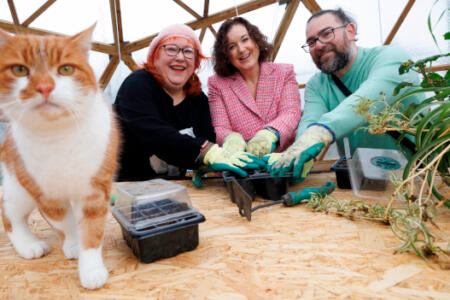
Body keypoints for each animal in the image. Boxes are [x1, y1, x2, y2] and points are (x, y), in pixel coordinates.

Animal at [0, 26, 118, 290]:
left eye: (66, 69)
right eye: (20, 70)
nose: (44, 87)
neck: (59, 136)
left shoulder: (94, 189)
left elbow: (91, 228)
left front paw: (91, 267)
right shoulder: (46, 193)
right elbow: (64, 222)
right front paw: (73, 244)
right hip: (19, 185)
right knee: (9, 212)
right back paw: (28, 244)